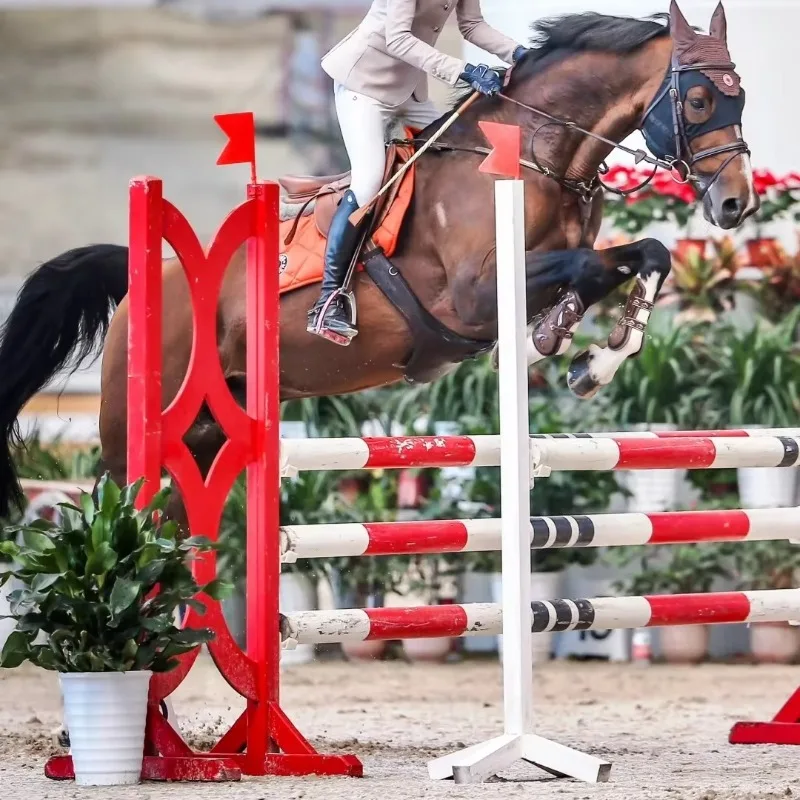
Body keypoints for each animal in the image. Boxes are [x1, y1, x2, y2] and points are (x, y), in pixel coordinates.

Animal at [0, 1, 757, 527]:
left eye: (741, 95)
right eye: (698, 100)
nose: (735, 205)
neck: (539, 153)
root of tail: (144, 279)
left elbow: (641, 256)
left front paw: (588, 354)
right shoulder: (474, 298)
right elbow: (588, 270)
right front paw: (564, 348)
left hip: (208, 437)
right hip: (136, 437)